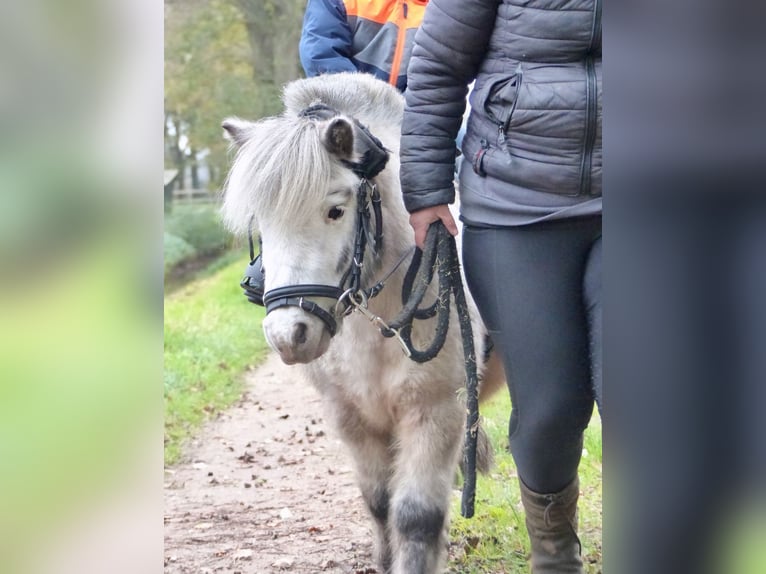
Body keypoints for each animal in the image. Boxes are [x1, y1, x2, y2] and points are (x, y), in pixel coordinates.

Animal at [219, 72, 504, 574]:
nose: (288, 336)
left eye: (335, 210)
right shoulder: (350, 416)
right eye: (261, 223)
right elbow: (378, 503)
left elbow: (415, 516)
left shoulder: (434, 412)